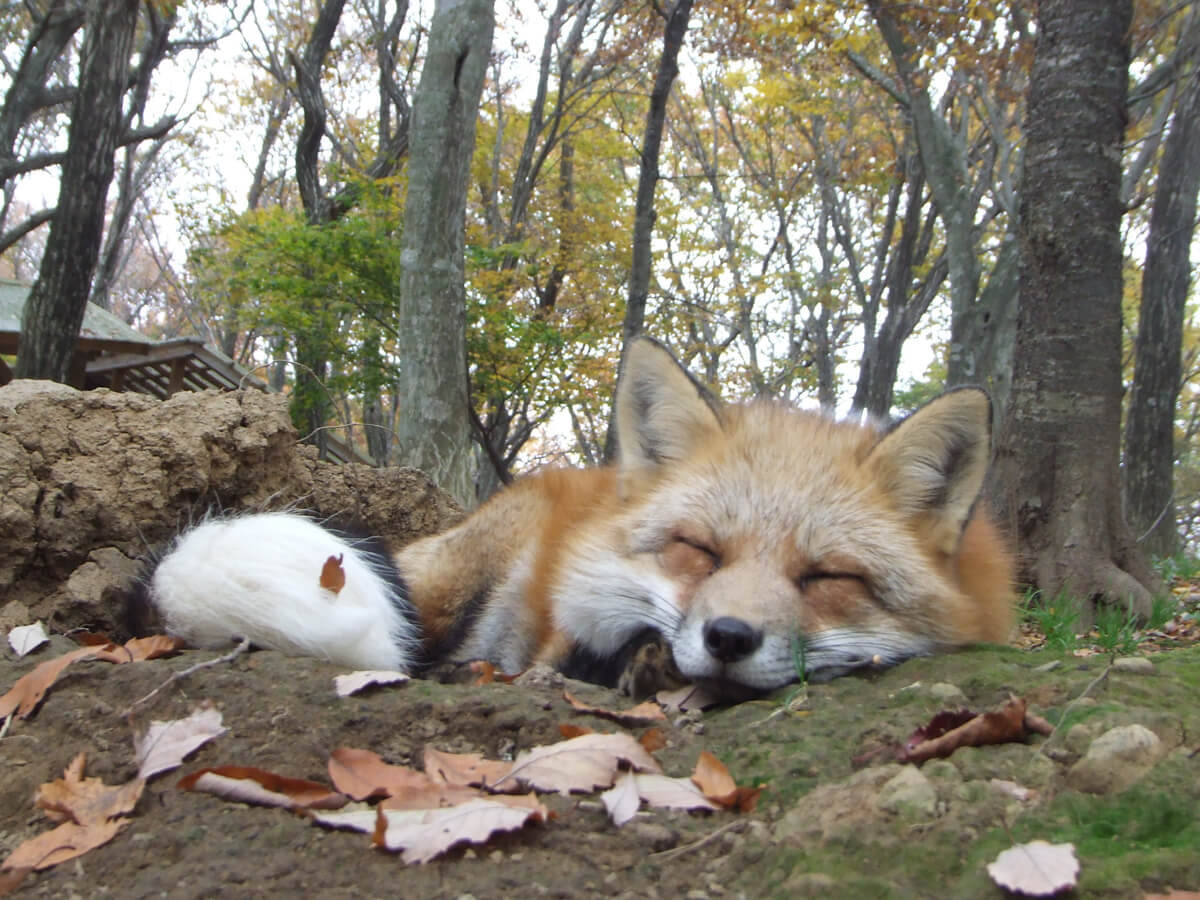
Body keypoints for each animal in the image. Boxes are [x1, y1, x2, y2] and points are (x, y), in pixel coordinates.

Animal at [142, 336, 1014, 699]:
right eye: (699, 550)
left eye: (827, 576)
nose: (729, 638)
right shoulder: (566, 629)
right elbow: (577, 656)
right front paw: (635, 659)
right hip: (452, 585)